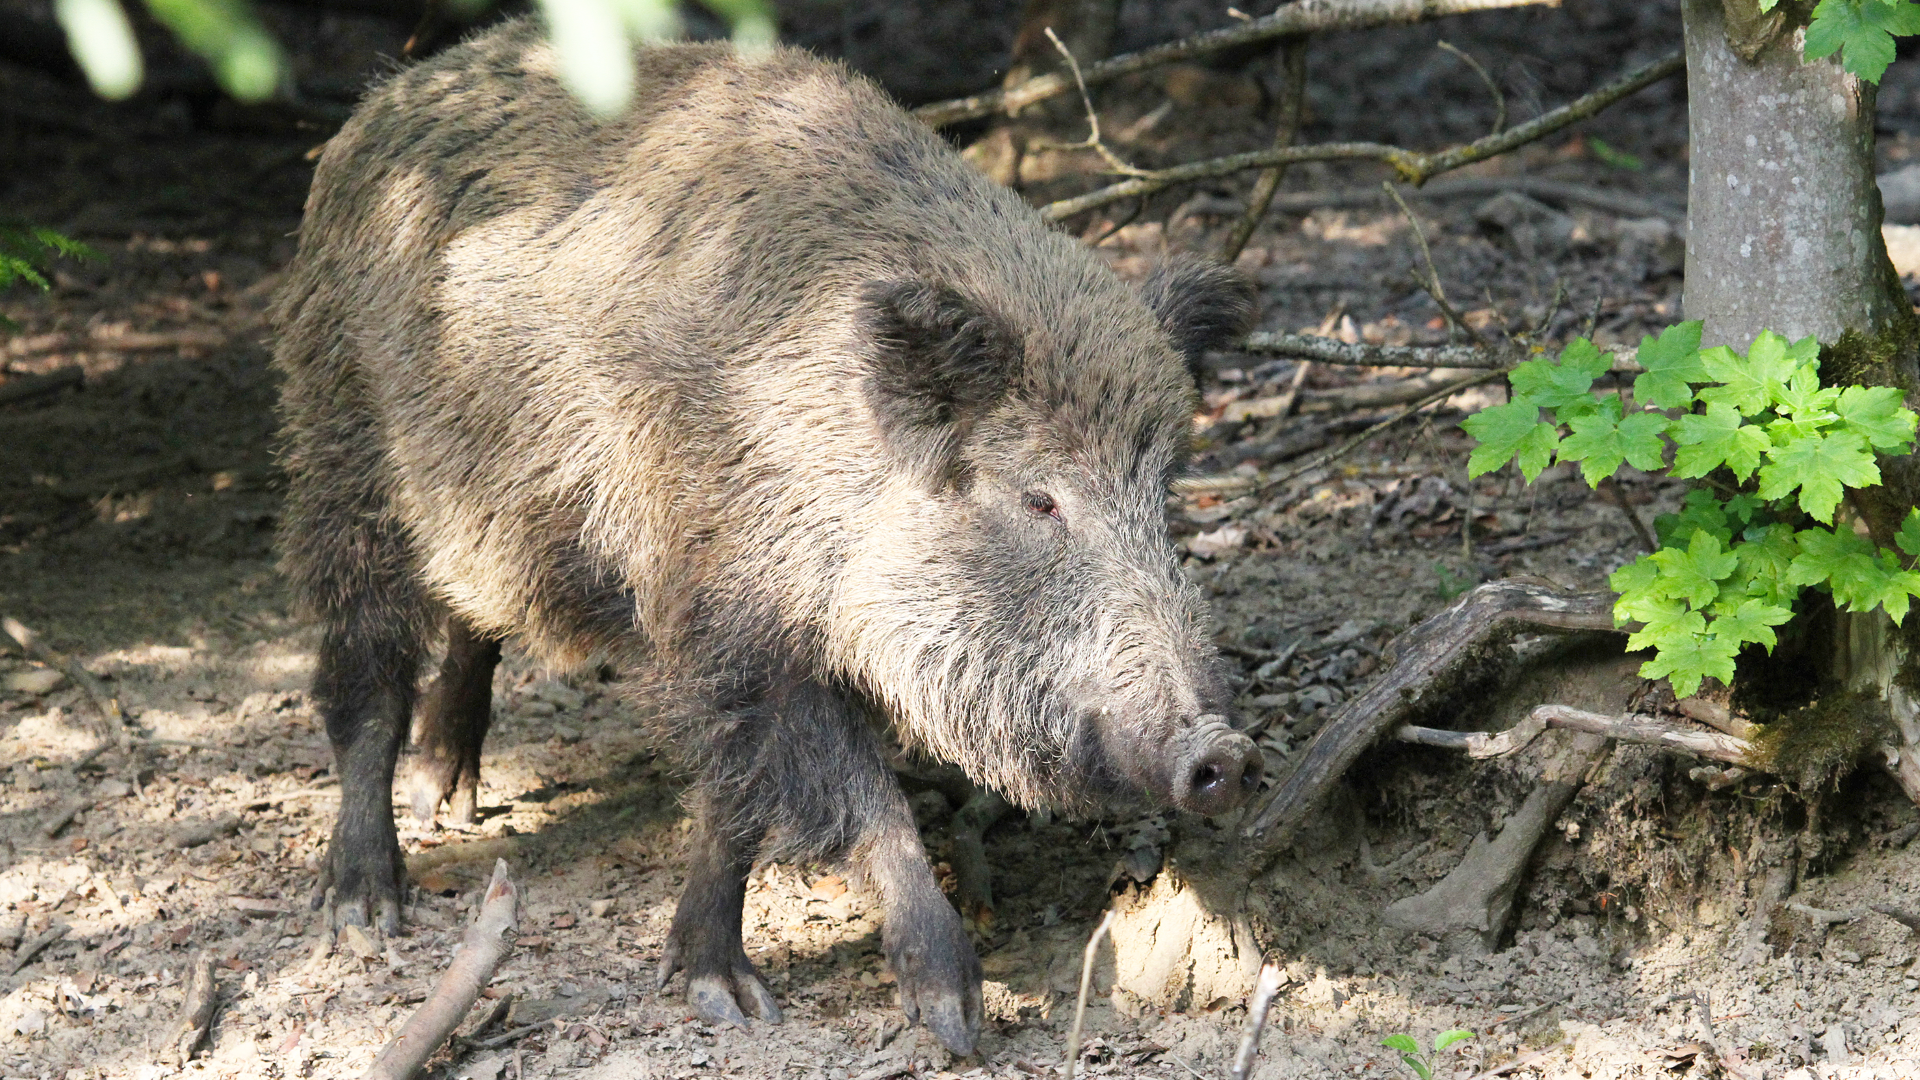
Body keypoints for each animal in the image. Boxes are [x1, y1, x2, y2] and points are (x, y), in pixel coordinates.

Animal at [272, 17, 1261, 1055]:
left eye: (1164, 489)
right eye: (1040, 500)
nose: (1228, 754)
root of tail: (395, 95)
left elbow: (734, 805)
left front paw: (721, 993)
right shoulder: (726, 615)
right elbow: (845, 797)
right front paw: (947, 1021)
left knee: (476, 619)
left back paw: (449, 796)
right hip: (341, 446)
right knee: (365, 672)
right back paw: (364, 908)